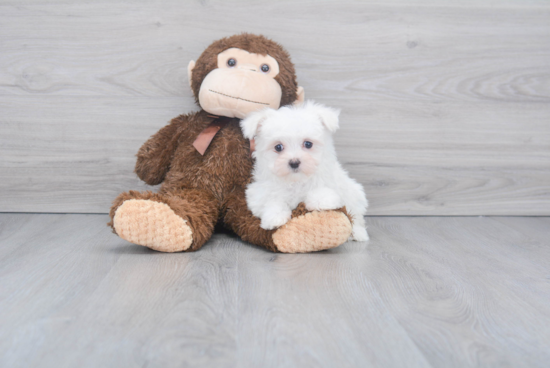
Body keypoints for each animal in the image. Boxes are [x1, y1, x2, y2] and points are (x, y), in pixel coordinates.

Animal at [242, 100, 370, 242]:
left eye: (308, 144)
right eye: (278, 147)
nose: (294, 162)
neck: (296, 180)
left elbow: (323, 192)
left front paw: (320, 200)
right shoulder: (258, 194)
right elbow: (271, 201)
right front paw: (274, 217)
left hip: (355, 194)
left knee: (356, 217)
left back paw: (358, 233)